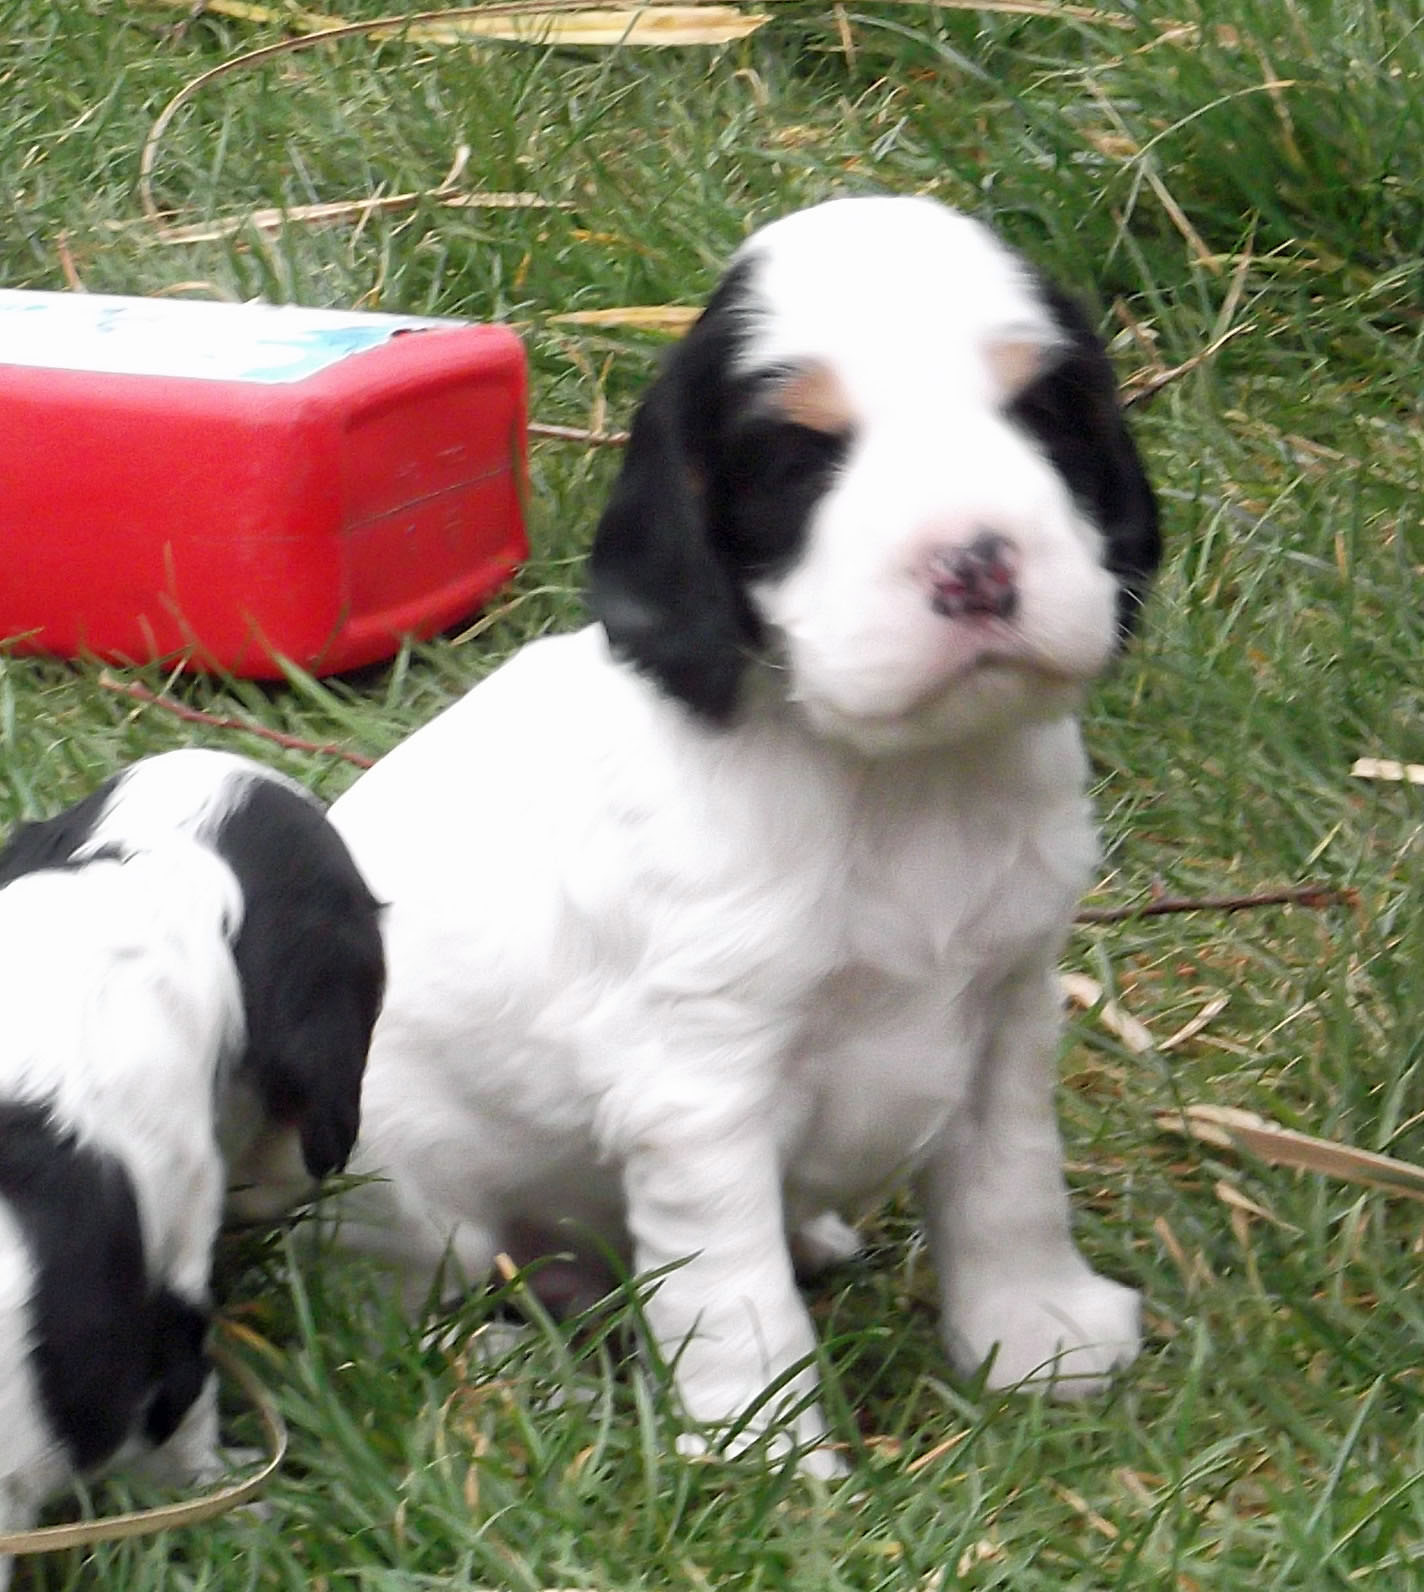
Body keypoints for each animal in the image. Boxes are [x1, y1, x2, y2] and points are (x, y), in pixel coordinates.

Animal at [320, 192, 1159, 1471]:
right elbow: (734, 1295)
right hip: (395, 1189)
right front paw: (767, 1456)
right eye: (801, 457)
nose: (974, 563)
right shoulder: (698, 1085)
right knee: (414, 1311)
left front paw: (1037, 1338)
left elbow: (1011, 1185)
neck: (896, 785)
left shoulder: (1008, 1008)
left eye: (1040, 415)